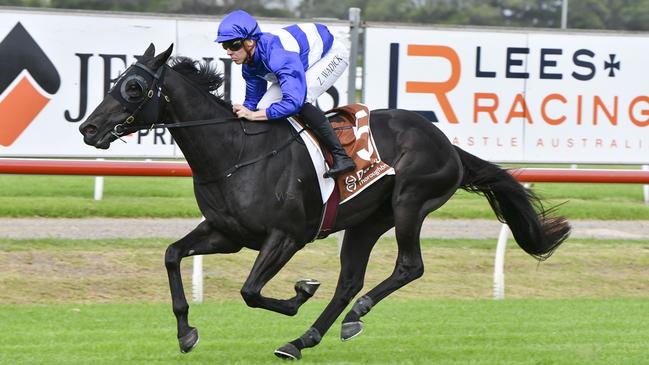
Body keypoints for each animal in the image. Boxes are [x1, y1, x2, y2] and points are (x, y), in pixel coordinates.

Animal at [78, 44, 568, 360]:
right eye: (114, 80)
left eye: (134, 88)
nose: (88, 128)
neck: (234, 153)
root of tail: (447, 144)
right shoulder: (226, 233)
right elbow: (172, 255)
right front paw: (185, 333)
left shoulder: (287, 236)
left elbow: (251, 291)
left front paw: (299, 293)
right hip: (366, 221)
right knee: (350, 280)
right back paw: (304, 338)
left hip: (409, 203)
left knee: (409, 266)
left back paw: (351, 316)